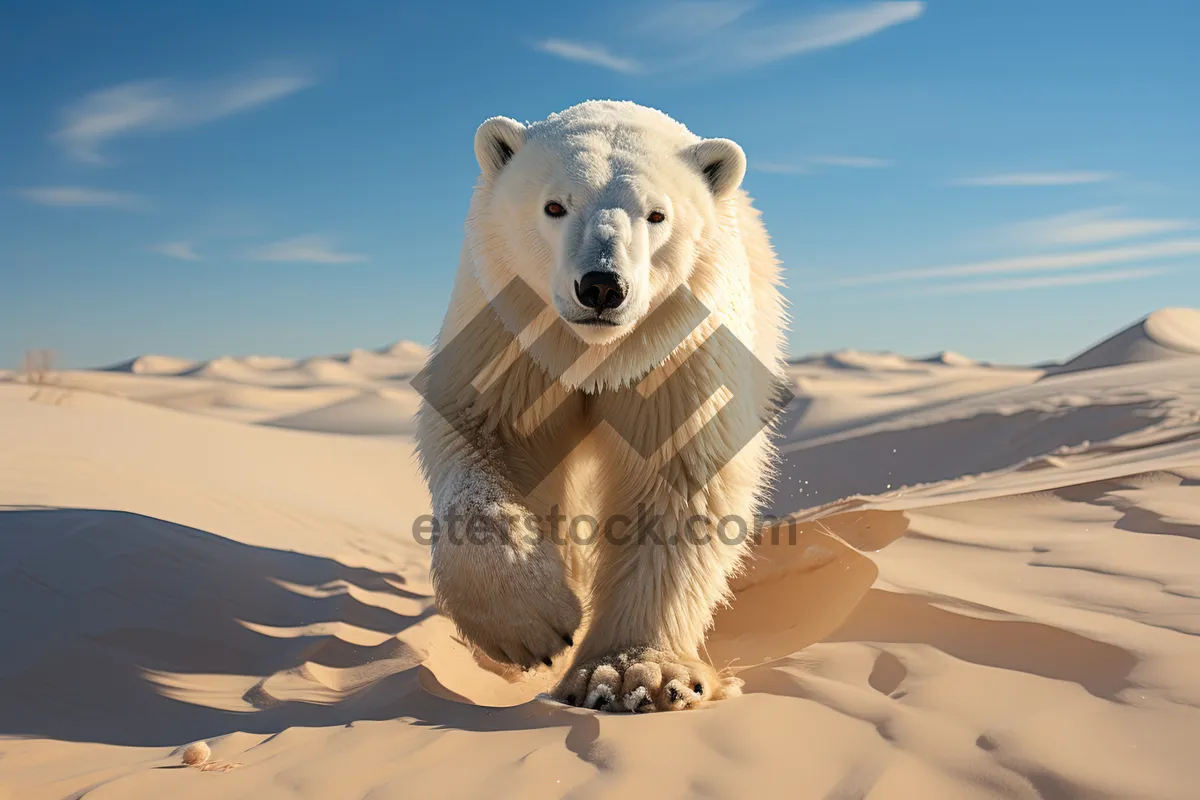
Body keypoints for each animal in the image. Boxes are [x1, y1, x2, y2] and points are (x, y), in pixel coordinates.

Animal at [417, 100, 792, 714]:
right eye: (554, 205)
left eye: (657, 214)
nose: (600, 287)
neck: (597, 355)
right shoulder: (513, 337)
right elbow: (486, 439)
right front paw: (533, 626)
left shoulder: (676, 353)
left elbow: (677, 477)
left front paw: (632, 675)